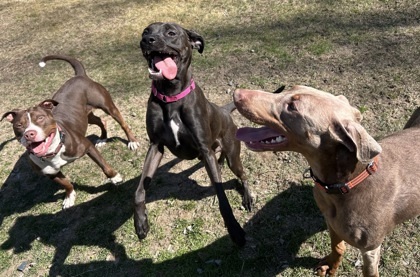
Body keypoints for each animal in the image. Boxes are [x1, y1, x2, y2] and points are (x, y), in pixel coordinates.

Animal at [2, 55, 139, 208]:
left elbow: (104, 166)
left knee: (122, 123)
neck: (53, 151)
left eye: (40, 118)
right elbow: (66, 183)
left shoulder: (88, 147)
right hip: (86, 116)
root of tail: (79, 76)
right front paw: (69, 196)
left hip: (107, 106)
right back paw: (103, 138)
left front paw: (115, 177)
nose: (29, 133)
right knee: (101, 120)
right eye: (19, 125)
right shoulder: (51, 173)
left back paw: (132, 141)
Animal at [135, 22, 253, 246]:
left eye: (171, 32)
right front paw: (141, 224)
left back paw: (248, 197)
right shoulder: (155, 146)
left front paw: (235, 229)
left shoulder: (205, 150)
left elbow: (224, 200)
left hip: (233, 156)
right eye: (146, 31)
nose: (147, 40)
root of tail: (224, 111)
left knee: (242, 175)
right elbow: (139, 190)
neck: (171, 97)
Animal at [233, 85, 420, 274]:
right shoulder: (330, 220)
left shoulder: (370, 249)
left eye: (292, 107)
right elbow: (337, 246)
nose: (237, 93)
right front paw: (331, 265)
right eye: (289, 88)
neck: (344, 184)